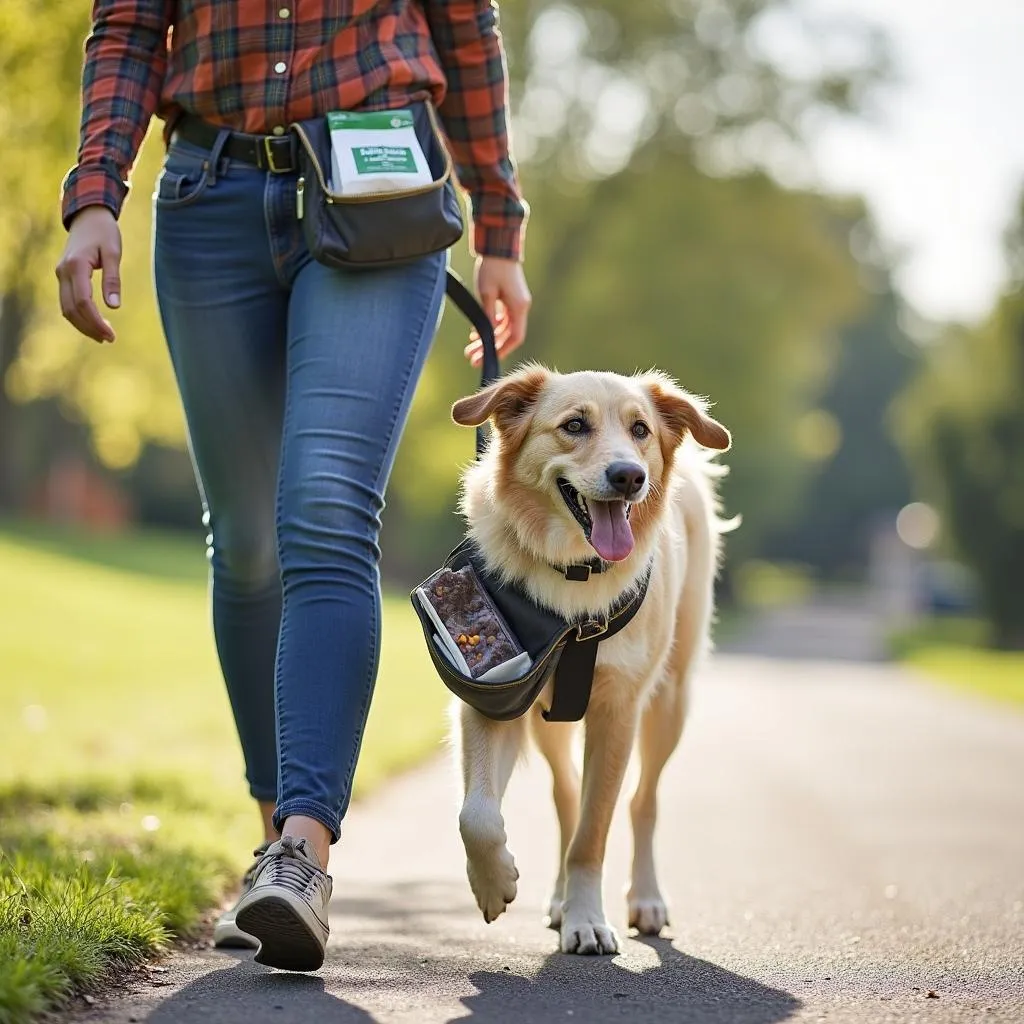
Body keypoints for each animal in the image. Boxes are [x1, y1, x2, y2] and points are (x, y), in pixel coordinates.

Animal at [452, 364, 733, 954]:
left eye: (640, 430)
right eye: (574, 425)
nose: (629, 476)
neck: (574, 573)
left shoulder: (617, 711)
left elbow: (594, 831)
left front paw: (587, 919)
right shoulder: (491, 700)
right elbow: (478, 813)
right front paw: (494, 882)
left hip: (669, 701)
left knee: (642, 801)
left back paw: (644, 898)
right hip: (550, 724)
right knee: (565, 797)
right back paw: (558, 898)